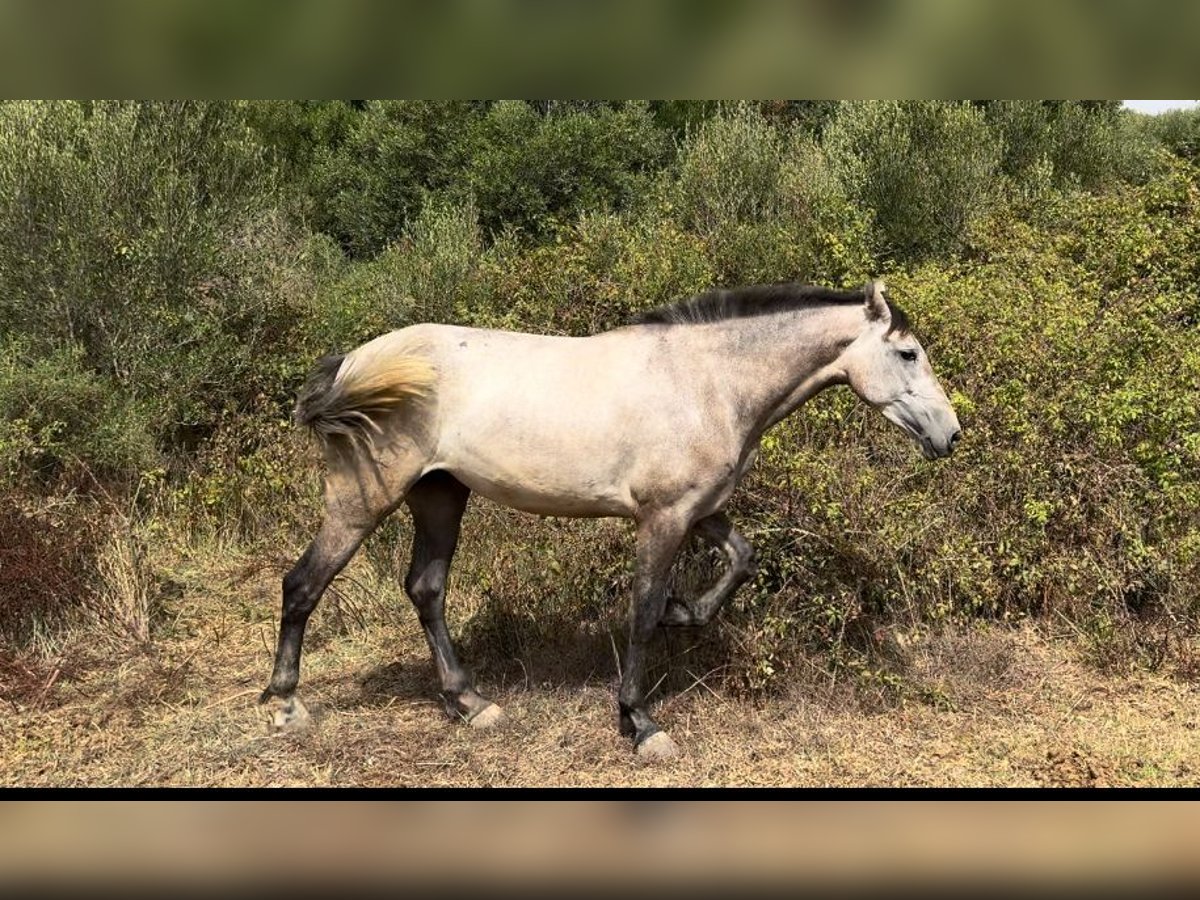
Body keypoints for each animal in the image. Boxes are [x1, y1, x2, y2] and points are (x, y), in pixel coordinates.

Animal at [258, 280, 960, 763]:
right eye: (908, 353)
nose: (950, 434)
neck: (707, 382)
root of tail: (354, 363)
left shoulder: (698, 510)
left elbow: (740, 560)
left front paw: (685, 612)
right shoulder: (663, 516)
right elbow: (642, 610)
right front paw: (639, 722)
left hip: (440, 495)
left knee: (426, 590)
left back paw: (471, 703)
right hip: (365, 497)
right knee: (304, 584)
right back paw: (285, 705)